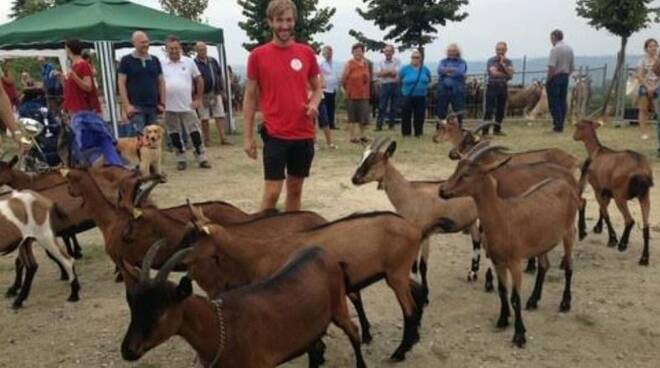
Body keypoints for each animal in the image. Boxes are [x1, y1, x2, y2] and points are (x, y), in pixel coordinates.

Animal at [440, 144, 580, 348]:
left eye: (466, 174)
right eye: (456, 168)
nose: (442, 190)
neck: (503, 217)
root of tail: (565, 184)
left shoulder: (514, 262)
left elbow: (514, 297)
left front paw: (519, 335)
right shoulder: (498, 261)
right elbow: (502, 291)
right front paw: (503, 320)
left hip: (568, 232)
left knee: (569, 266)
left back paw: (565, 303)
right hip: (542, 242)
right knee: (544, 265)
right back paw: (533, 300)